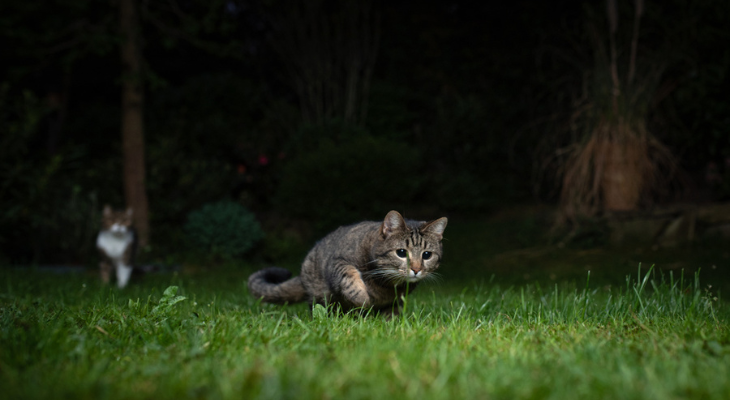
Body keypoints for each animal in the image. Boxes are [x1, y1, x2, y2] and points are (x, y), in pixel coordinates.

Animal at [247, 211, 446, 318]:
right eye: (402, 253)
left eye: (427, 255)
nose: (416, 269)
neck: (386, 286)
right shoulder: (338, 261)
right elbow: (348, 275)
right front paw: (362, 296)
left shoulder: (397, 300)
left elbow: (391, 313)